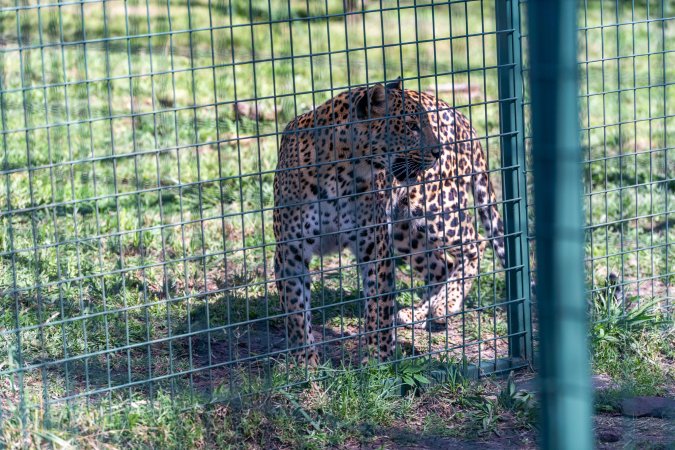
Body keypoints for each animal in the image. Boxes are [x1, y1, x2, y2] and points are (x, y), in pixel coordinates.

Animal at [273, 79, 507, 366]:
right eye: (411, 126)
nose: (437, 152)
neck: (340, 173)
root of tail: (459, 115)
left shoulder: (375, 247)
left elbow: (379, 308)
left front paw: (378, 359)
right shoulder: (290, 252)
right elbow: (295, 310)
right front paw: (305, 361)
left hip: (438, 210)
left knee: (476, 244)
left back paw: (445, 305)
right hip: (405, 232)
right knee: (441, 266)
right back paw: (419, 313)